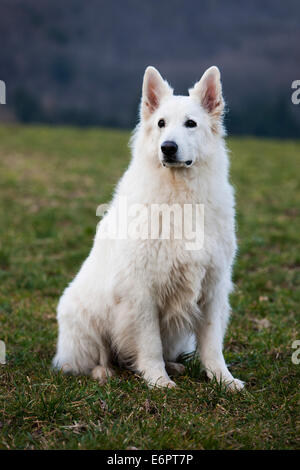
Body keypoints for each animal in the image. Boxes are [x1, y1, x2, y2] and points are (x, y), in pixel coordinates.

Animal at [52, 64, 245, 392]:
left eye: (191, 124)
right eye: (161, 123)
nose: (167, 147)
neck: (181, 198)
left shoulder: (213, 286)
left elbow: (212, 344)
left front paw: (223, 379)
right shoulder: (140, 291)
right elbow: (150, 342)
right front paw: (157, 380)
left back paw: (174, 366)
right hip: (85, 317)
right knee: (94, 359)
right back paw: (105, 372)